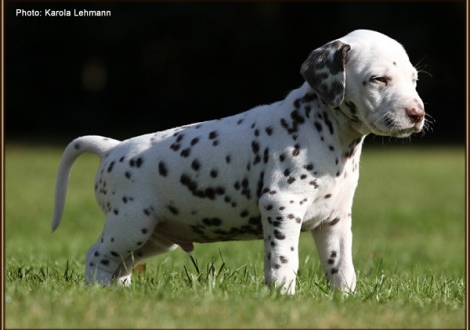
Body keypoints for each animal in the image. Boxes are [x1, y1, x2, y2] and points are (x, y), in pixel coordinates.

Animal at [51, 30, 426, 294]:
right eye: (378, 79)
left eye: (414, 79)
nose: (417, 114)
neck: (327, 131)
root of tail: (112, 149)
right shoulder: (281, 206)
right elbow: (284, 261)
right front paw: (283, 298)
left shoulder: (334, 221)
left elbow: (342, 269)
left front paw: (346, 299)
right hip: (130, 223)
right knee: (98, 256)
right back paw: (97, 293)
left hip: (155, 235)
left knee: (123, 266)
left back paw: (123, 294)